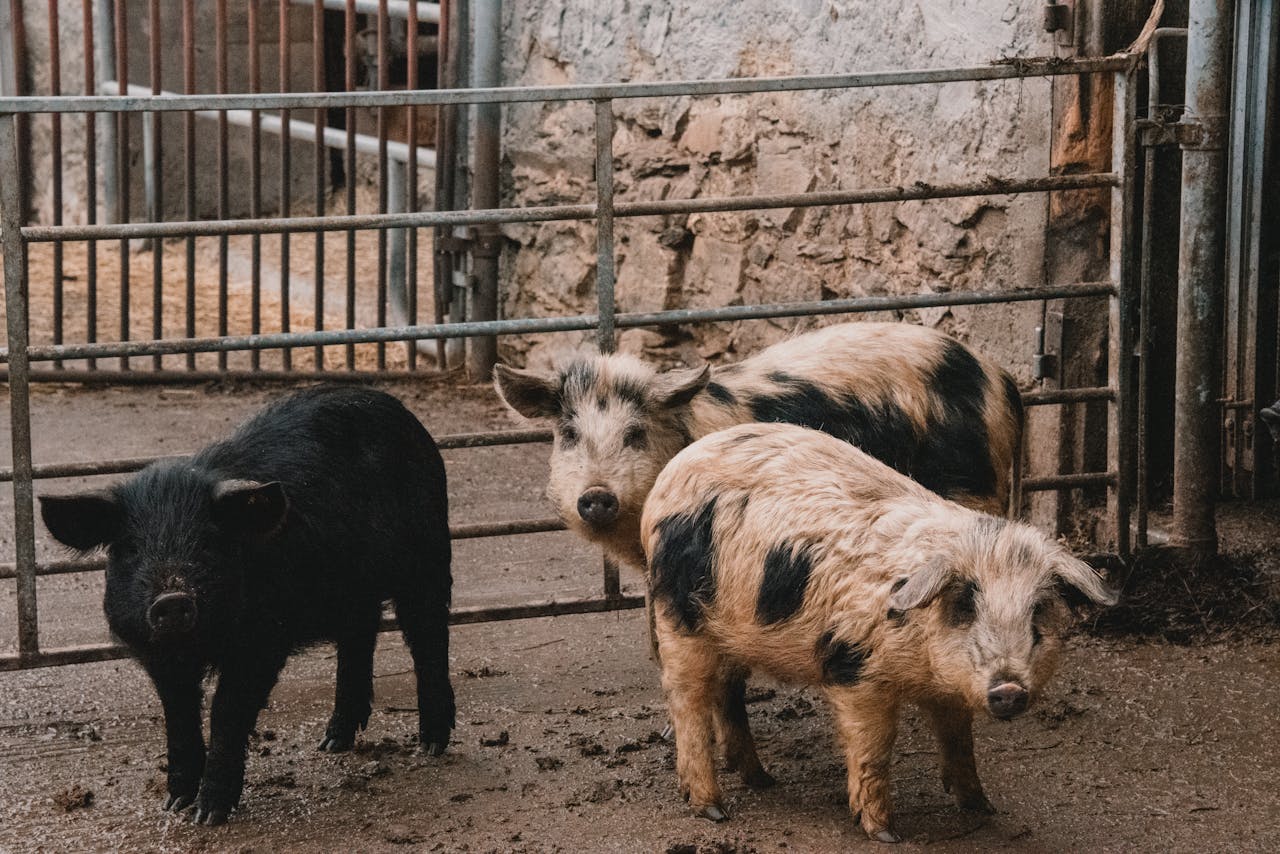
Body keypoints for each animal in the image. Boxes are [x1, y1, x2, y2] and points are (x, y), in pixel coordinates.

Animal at [39, 386, 455, 826]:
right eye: (132, 548)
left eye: (207, 542)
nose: (172, 598)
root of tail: (400, 411)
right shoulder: (155, 651)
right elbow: (178, 714)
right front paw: (175, 803)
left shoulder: (262, 640)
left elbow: (227, 711)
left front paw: (209, 815)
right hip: (353, 590)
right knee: (359, 637)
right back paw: (332, 742)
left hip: (428, 557)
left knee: (428, 636)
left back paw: (431, 745)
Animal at [639, 423, 1116, 842]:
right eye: (966, 605)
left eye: (1036, 612)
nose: (1009, 690)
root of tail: (662, 485)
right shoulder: (855, 671)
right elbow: (874, 746)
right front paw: (886, 833)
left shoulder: (946, 690)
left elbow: (958, 736)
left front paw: (981, 807)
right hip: (678, 617)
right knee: (687, 697)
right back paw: (713, 809)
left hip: (730, 631)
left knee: (729, 691)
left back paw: (762, 780)